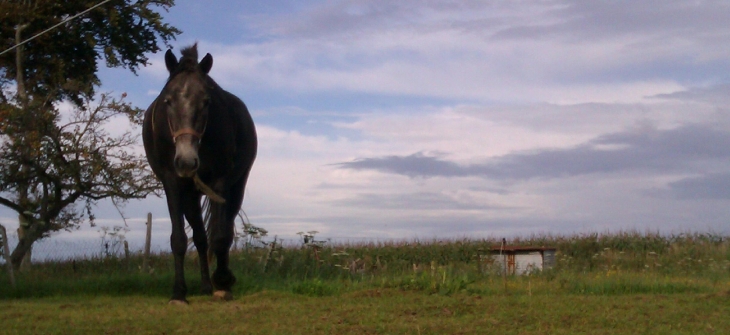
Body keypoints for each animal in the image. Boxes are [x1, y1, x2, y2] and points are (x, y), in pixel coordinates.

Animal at [141, 44, 256, 304]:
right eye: (168, 101)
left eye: (206, 101)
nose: (186, 161)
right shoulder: (172, 183)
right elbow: (179, 239)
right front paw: (179, 293)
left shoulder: (221, 182)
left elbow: (221, 236)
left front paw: (223, 282)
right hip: (190, 196)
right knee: (201, 238)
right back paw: (204, 285)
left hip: (235, 188)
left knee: (223, 230)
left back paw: (219, 281)